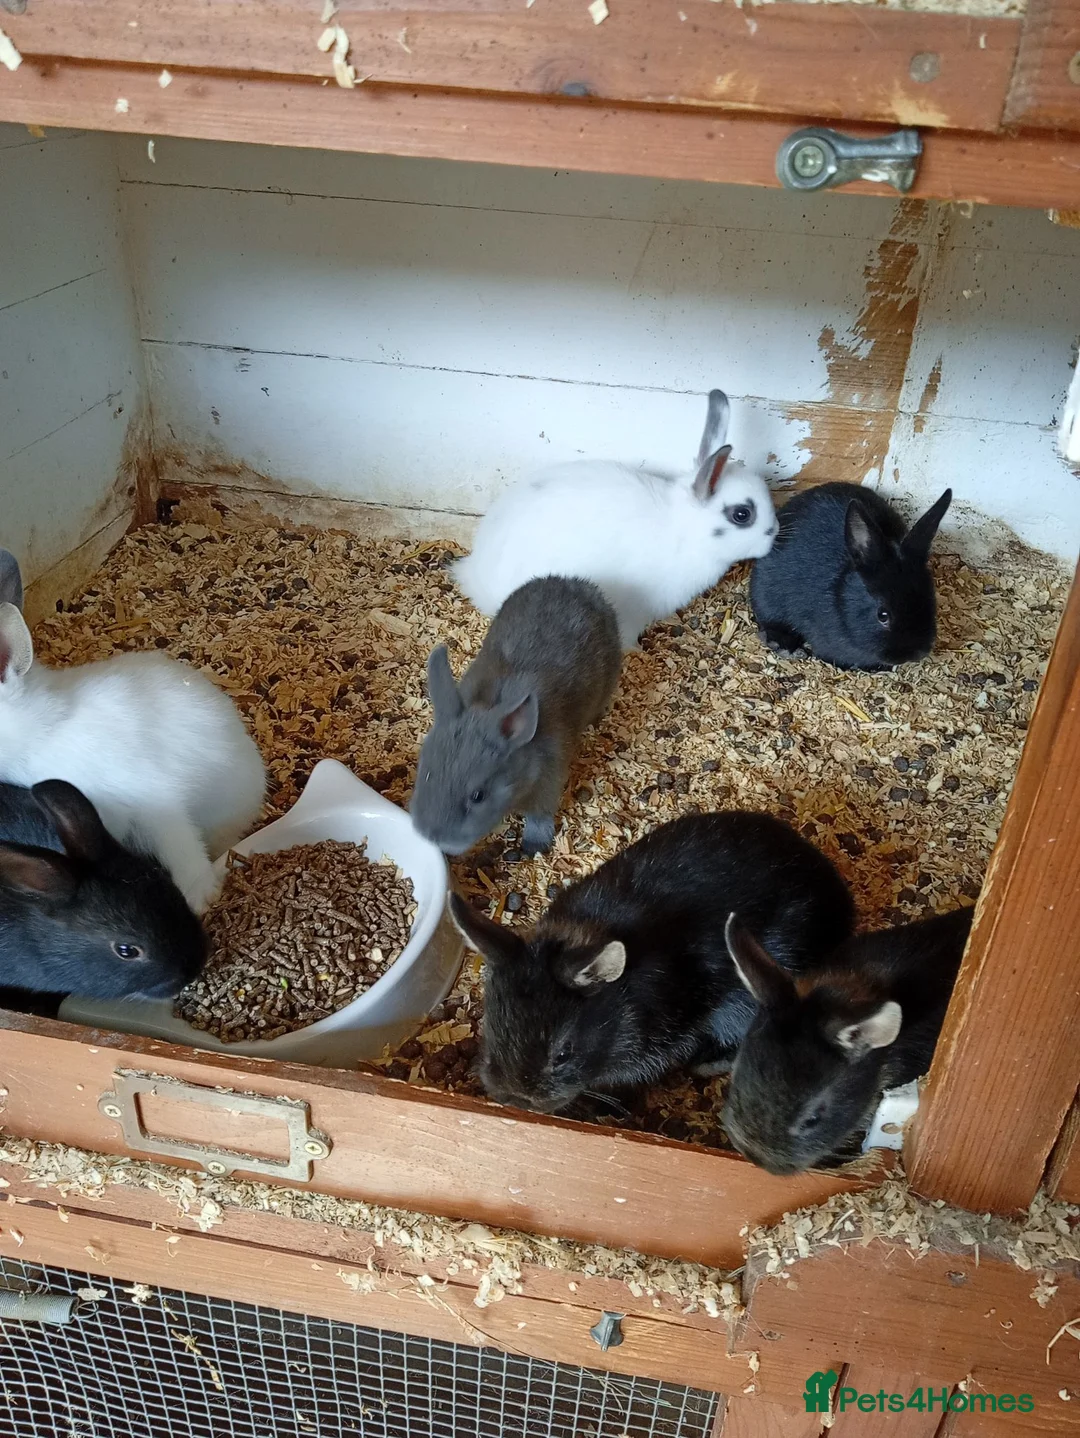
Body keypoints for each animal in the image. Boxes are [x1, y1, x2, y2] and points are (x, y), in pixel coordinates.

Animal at [410, 576, 621, 857]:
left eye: (478, 796)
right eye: (427, 773)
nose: (433, 837)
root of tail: (579, 583)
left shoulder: (548, 784)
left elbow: (539, 816)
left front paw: (534, 845)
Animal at [453, 390, 778, 650]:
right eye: (742, 515)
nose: (773, 532)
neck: (685, 531)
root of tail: (475, 574)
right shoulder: (635, 610)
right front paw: (636, 651)